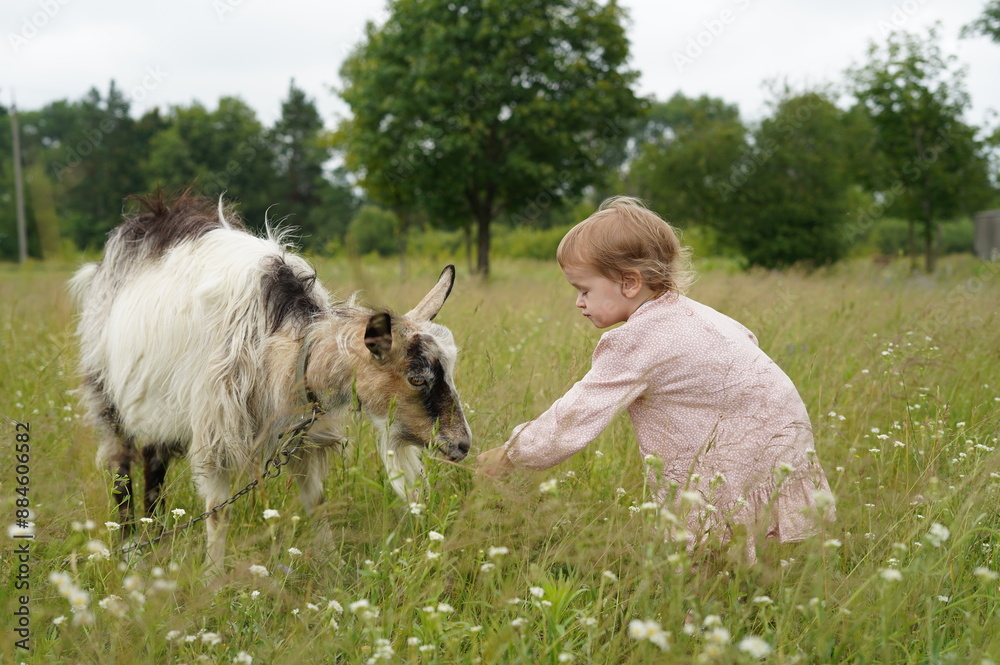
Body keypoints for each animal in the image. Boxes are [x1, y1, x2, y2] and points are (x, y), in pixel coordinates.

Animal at [70, 192, 471, 572]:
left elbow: (317, 502)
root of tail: (149, 215)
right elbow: (218, 511)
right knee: (122, 467)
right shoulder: (216, 431)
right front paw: (212, 579)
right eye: (416, 378)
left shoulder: (304, 435)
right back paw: (130, 549)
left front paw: (333, 568)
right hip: (106, 392)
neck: (284, 344)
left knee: (154, 463)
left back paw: (156, 538)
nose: (462, 445)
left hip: (157, 404)